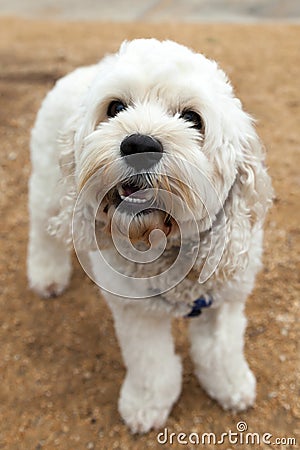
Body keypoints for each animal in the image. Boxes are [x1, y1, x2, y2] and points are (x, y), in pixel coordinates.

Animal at [27, 38, 272, 432]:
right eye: (115, 108)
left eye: (192, 118)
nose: (139, 144)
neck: (162, 244)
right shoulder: (137, 313)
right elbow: (152, 366)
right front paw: (145, 406)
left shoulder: (224, 300)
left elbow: (220, 351)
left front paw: (232, 386)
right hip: (49, 188)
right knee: (43, 231)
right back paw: (47, 276)